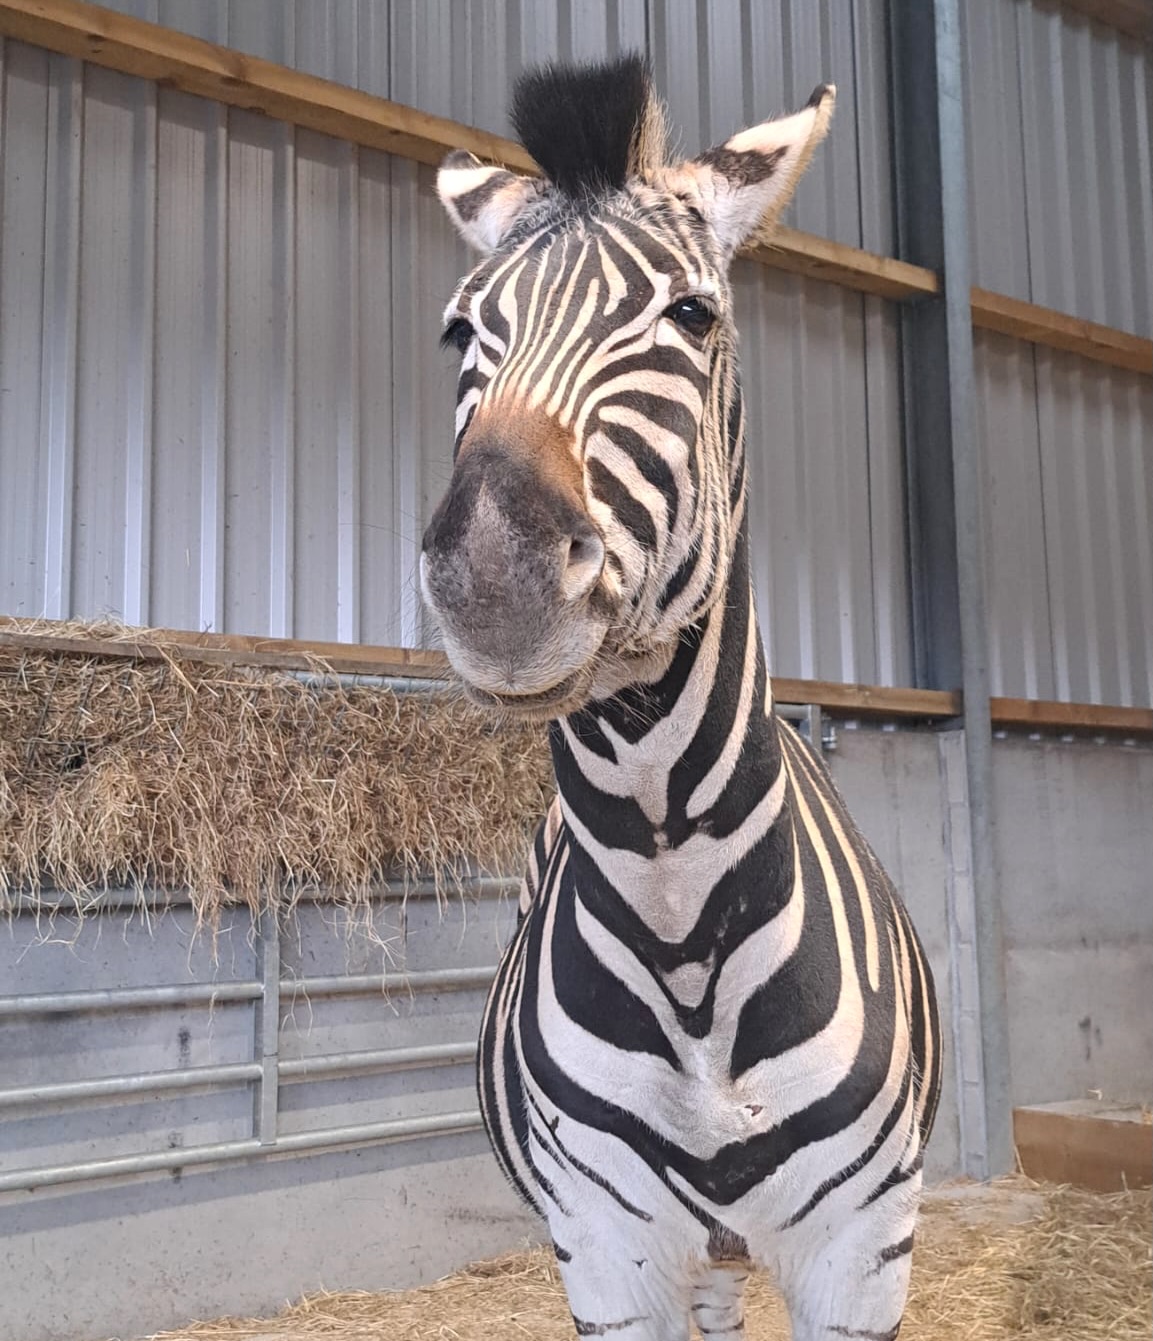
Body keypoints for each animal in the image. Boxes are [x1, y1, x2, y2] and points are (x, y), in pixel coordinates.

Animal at [420, 55, 941, 1341]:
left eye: (693, 318)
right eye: (462, 331)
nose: (492, 576)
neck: (676, 905)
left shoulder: (863, 1254)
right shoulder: (605, 1252)